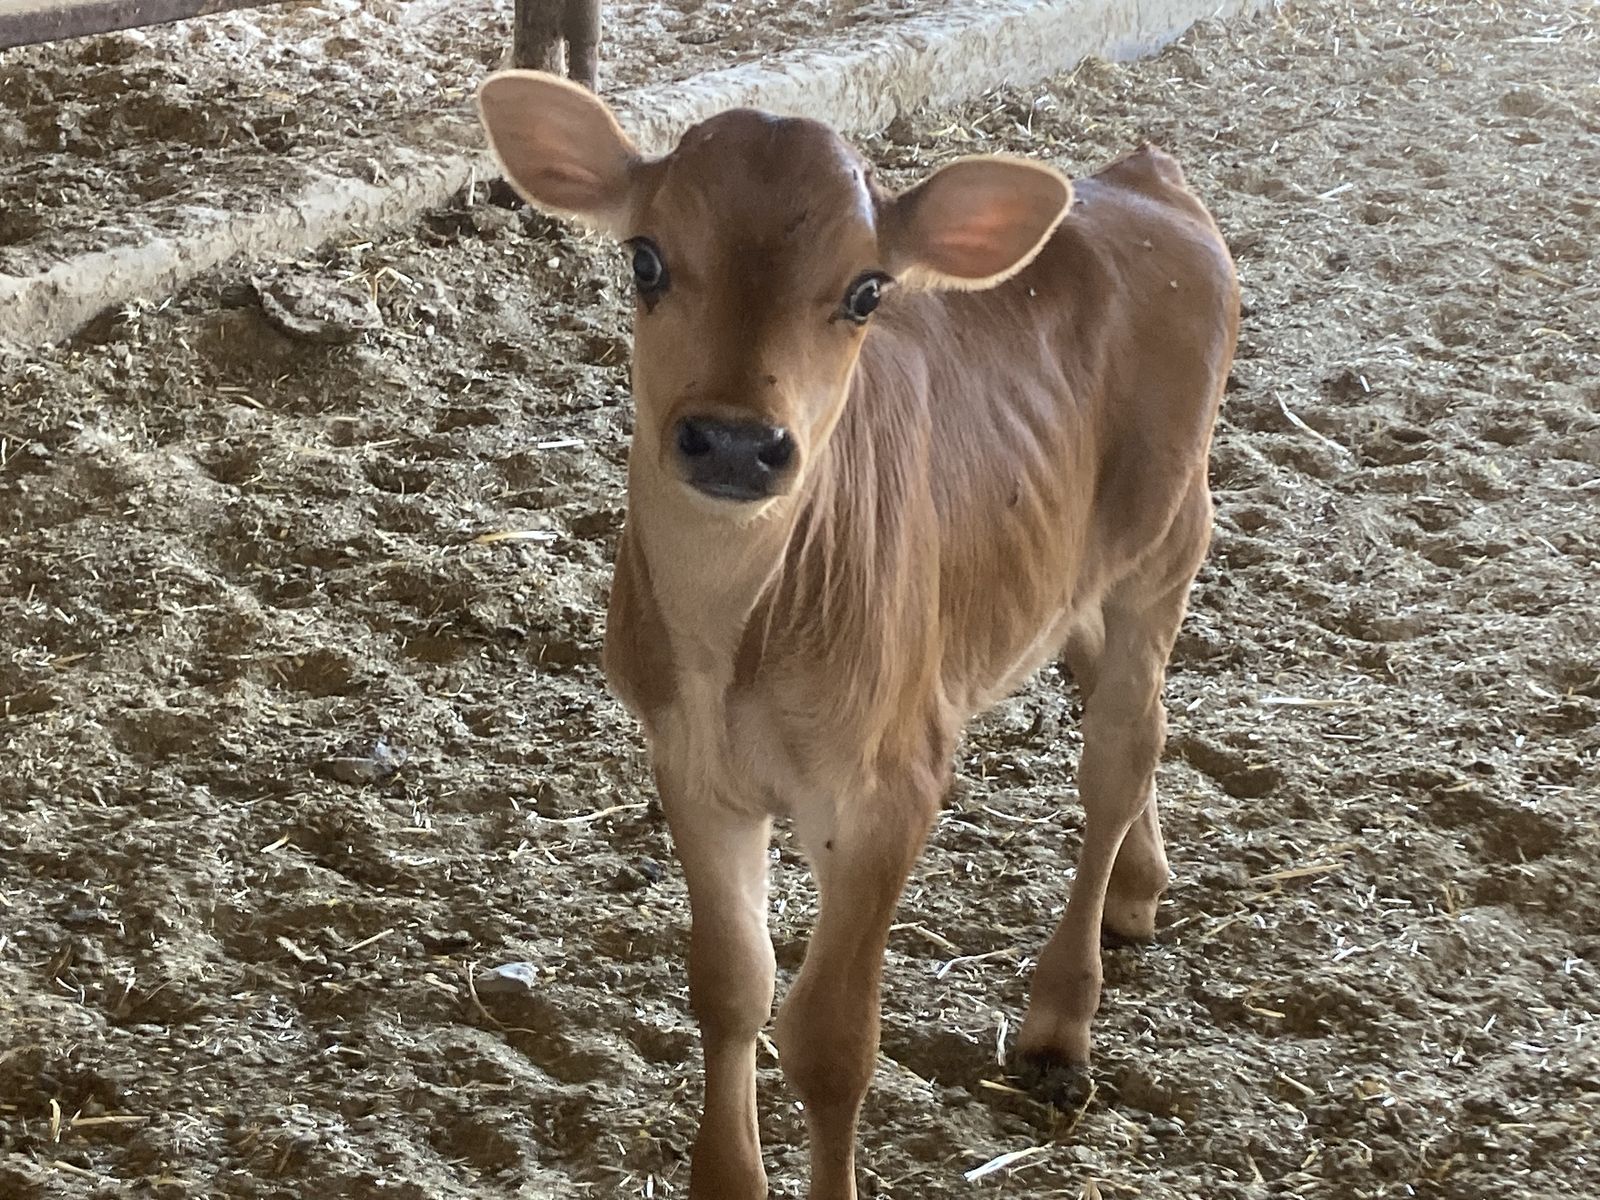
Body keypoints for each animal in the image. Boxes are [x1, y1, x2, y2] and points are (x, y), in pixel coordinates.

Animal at [477, 69, 1240, 1199]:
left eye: (867, 292)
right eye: (646, 258)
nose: (736, 442)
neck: (736, 642)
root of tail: (1142, 178)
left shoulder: (894, 784)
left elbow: (832, 1042)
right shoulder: (690, 766)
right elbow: (731, 990)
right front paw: (725, 1177)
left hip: (1170, 536)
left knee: (1119, 746)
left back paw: (1061, 1018)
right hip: (1064, 572)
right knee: (1105, 685)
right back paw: (1139, 888)